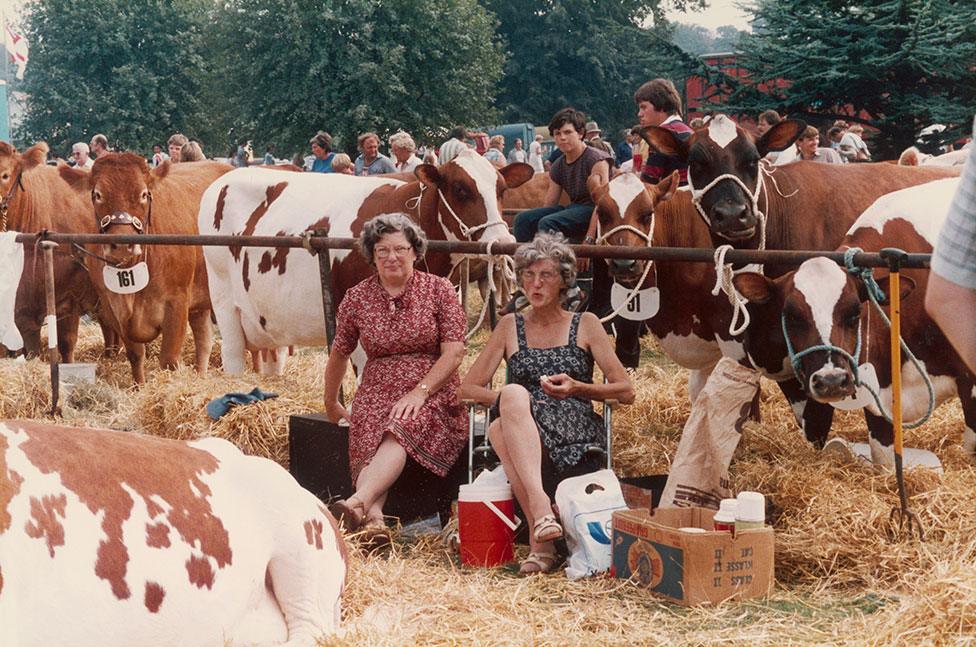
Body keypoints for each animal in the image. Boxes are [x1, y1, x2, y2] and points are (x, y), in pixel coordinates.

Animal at [59, 154, 233, 382]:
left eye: (143, 194)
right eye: (97, 194)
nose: (122, 244)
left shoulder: (177, 302)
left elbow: (169, 361)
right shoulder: (112, 306)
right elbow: (135, 355)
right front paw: (139, 386)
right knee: (204, 339)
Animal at [200, 150, 532, 374]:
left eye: (501, 189)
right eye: (461, 189)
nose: (502, 239)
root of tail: (224, 179)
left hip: (268, 319)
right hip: (223, 298)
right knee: (232, 354)